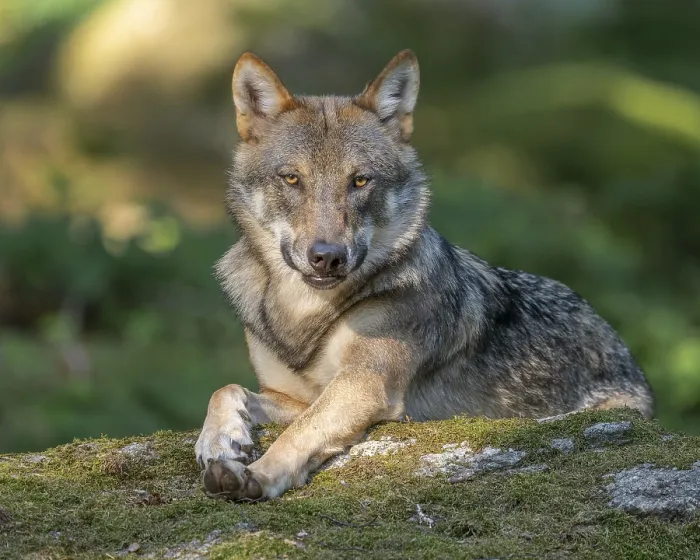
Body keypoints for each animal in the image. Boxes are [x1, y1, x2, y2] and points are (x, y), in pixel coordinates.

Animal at [195, 49, 654, 501]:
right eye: (292, 178)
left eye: (359, 181)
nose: (327, 258)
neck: (305, 315)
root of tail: (622, 347)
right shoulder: (293, 395)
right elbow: (226, 389)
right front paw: (218, 442)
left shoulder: (365, 385)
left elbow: (300, 432)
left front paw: (255, 475)